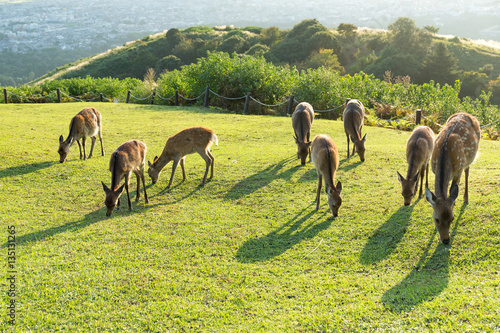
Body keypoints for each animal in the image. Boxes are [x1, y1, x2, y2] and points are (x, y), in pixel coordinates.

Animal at [426, 112, 480, 244]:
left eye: (452, 218)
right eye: (436, 219)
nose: (446, 240)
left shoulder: (458, 170)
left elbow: (452, 190)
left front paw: (454, 204)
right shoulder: (434, 170)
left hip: (467, 160)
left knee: (467, 171)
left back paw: (466, 199)